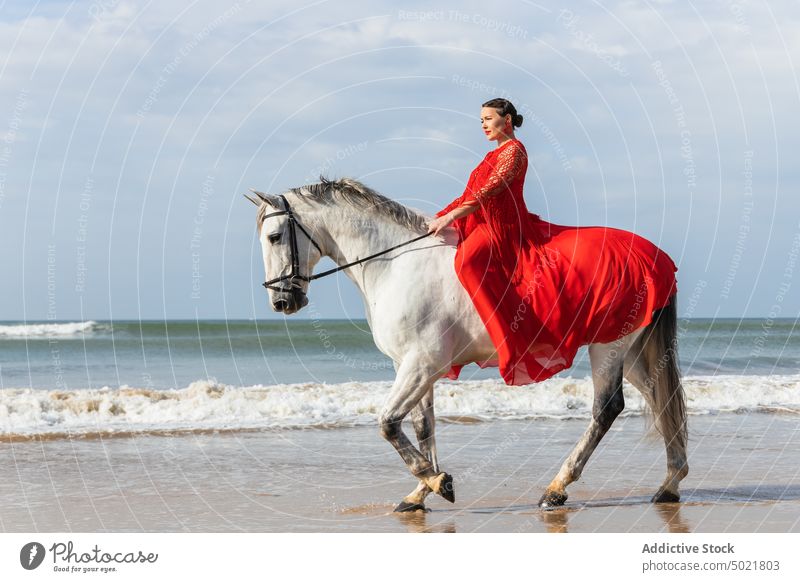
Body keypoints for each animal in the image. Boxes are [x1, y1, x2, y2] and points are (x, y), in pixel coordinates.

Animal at [245, 176, 688, 512]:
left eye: (274, 236)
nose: (282, 302)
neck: (395, 264)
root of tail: (657, 257)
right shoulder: (412, 365)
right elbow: (421, 426)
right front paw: (421, 491)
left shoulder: (421, 364)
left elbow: (387, 423)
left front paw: (436, 481)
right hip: (632, 351)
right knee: (660, 398)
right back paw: (670, 482)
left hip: (607, 346)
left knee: (606, 409)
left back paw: (557, 488)